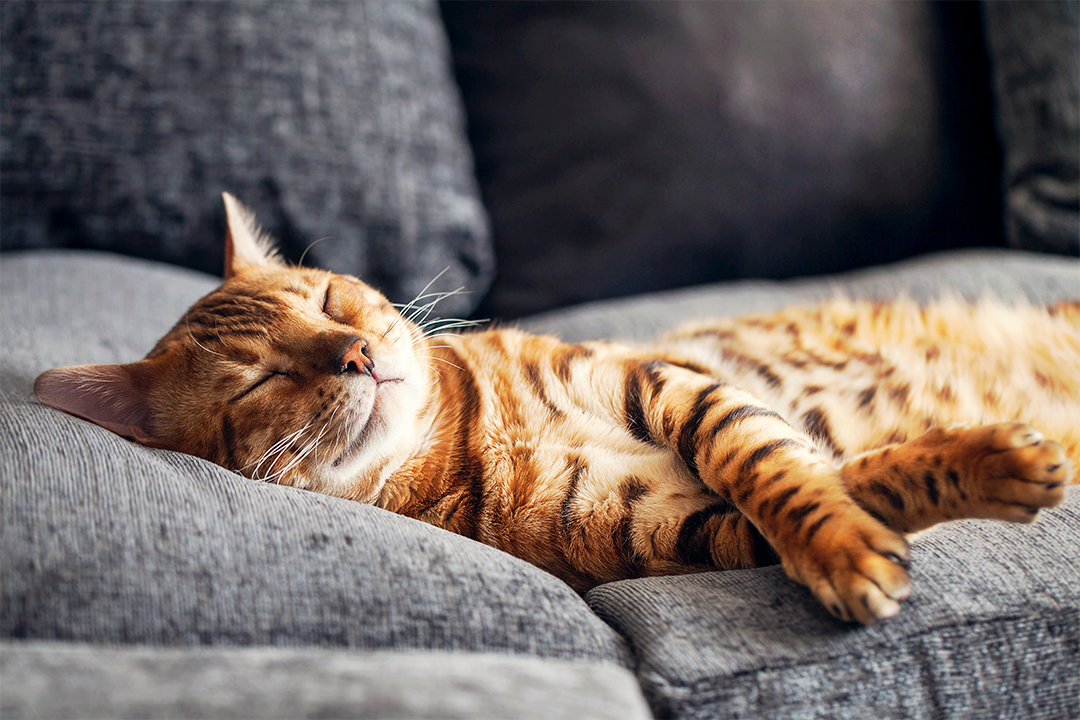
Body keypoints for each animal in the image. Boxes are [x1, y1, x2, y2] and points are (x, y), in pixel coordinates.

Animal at [31, 193, 1071, 626]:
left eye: (329, 299)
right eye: (260, 381)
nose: (358, 353)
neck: (467, 438)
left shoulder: (668, 382)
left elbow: (774, 464)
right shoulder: (677, 529)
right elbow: (830, 484)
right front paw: (876, 532)